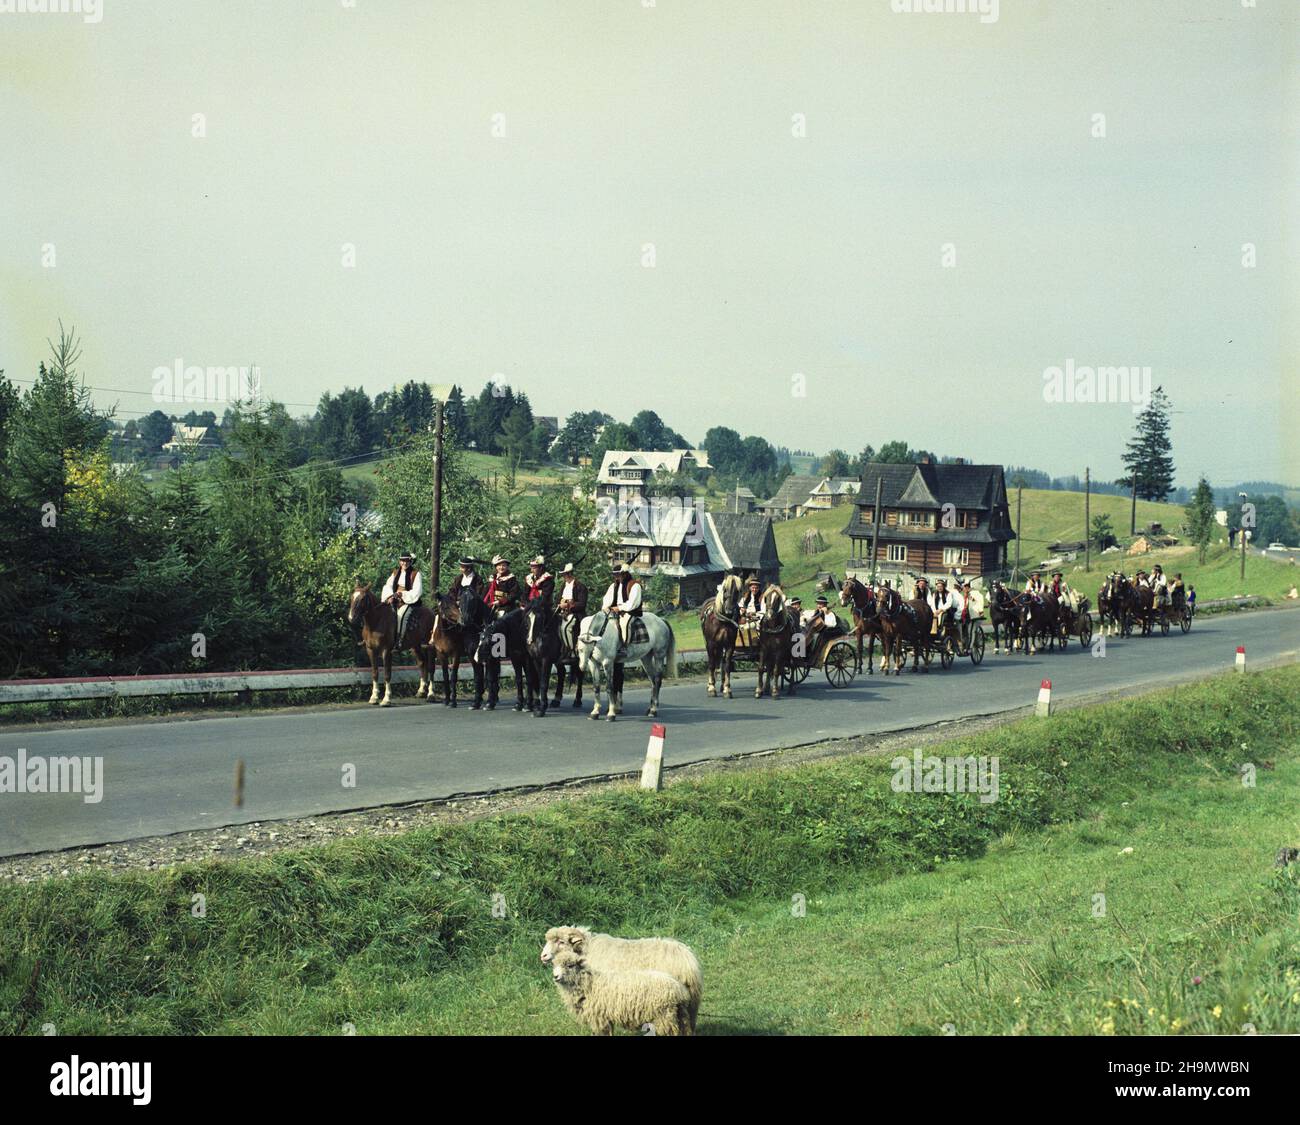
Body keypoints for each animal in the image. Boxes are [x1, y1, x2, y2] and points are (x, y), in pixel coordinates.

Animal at [546, 946, 691, 1035]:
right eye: (554, 965)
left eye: (570, 965)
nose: (555, 977)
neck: (589, 984)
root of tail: (679, 989)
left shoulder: (599, 1018)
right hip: (679, 1015)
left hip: (664, 1017)